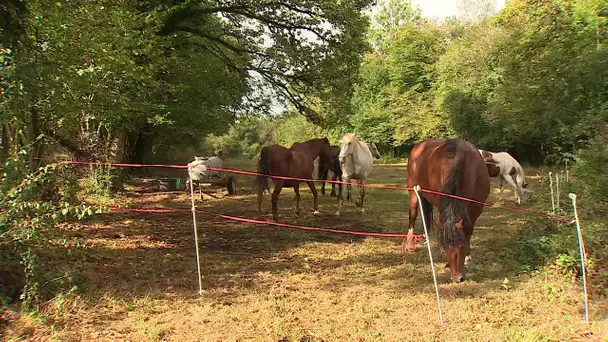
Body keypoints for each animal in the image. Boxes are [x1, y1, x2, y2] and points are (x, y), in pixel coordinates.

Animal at [406, 138, 492, 282]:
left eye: (462, 246)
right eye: (447, 248)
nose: (457, 278)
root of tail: (419, 146)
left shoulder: (476, 207)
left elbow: (469, 229)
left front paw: (468, 257)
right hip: (413, 193)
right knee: (413, 215)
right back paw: (410, 244)